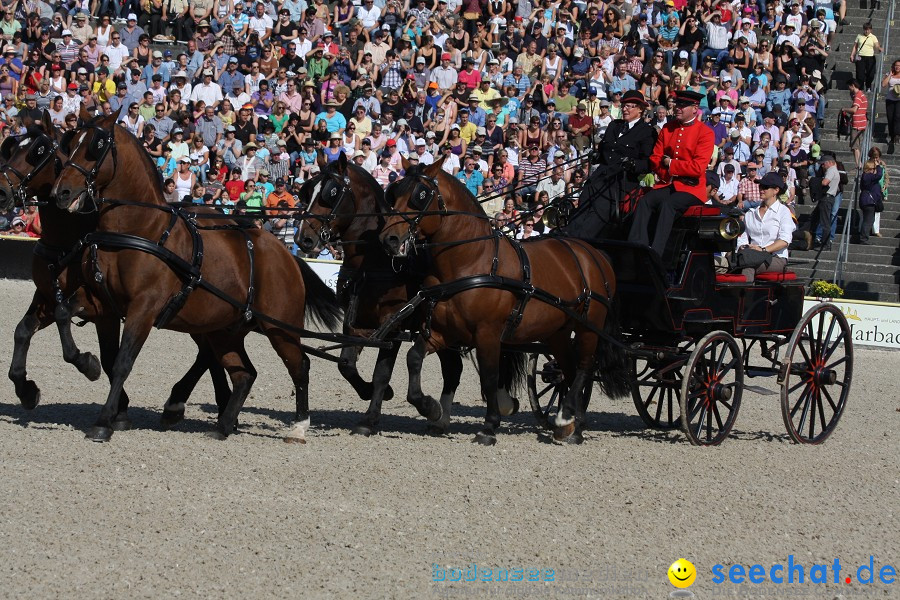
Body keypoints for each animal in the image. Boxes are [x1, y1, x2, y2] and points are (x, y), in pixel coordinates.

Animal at [0, 111, 230, 432]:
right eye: (10, 148)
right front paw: (26, 389)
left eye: (38, 152)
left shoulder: (101, 308)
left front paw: (94, 374)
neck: (67, 239)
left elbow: (101, 354)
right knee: (210, 351)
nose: (1, 190)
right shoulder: (49, 295)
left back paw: (191, 403)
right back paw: (211, 403)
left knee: (208, 351)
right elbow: (23, 331)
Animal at [51, 111, 342, 440]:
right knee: (243, 373)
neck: (141, 229)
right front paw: (87, 364)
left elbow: (124, 362)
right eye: (71, 142)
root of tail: (285, 253)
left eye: (96, 146)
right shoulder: (101, 300)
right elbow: (66, 316)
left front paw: (103, 422)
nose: (61, 192)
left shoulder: (143, 308)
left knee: (299, 365)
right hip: (225, 330)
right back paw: (223, 424)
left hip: (280, 328)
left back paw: (299, 425)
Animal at [296, 154, 520, 436]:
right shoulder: (356, 322)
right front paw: (371, 397)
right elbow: (346, 364)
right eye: (307, 191)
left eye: (331, 193)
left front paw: (371, 418)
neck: (375, 262)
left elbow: (382, 373)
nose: (303, 238)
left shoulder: (394, 325)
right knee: (454, 369)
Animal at [378, 159, 624, 446]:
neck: (472, 261)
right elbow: (414, 358)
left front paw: (489, 426)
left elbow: (490, 376)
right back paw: (573, 426)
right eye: (394, 193)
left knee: (585, 368)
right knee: (570, 370)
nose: (389, 239)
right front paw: (431, 408)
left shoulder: (488, 334)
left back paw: (566, 419)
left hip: (588, 327)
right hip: (558, 333)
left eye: (420, 195)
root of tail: (595, 254)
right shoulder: (441, 333)